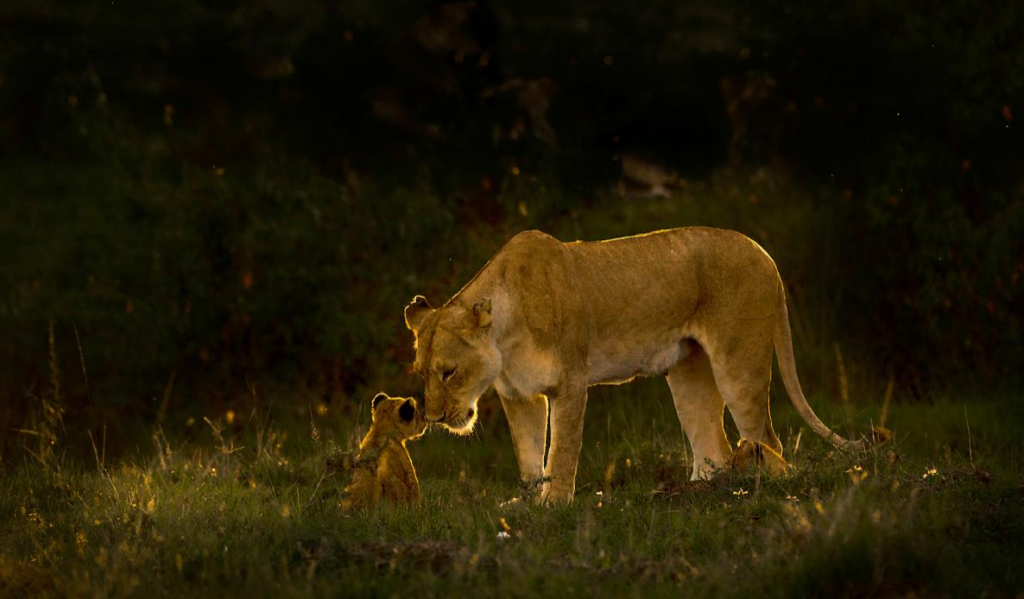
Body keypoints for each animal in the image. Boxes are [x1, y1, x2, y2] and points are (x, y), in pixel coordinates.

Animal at [405, 227, 876, 504]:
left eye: (449, 371)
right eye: (423, 374)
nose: (433, 417)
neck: (505, 337)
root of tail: (766, 256)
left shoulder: (571, 383)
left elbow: (561, 454)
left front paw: (555, 508)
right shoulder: (520, 396)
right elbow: (528, 459)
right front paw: (527, 507)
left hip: (739, 366)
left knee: (768, 440)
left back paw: (752, 490)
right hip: (688, 375)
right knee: (715, 447)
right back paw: (693, 492)